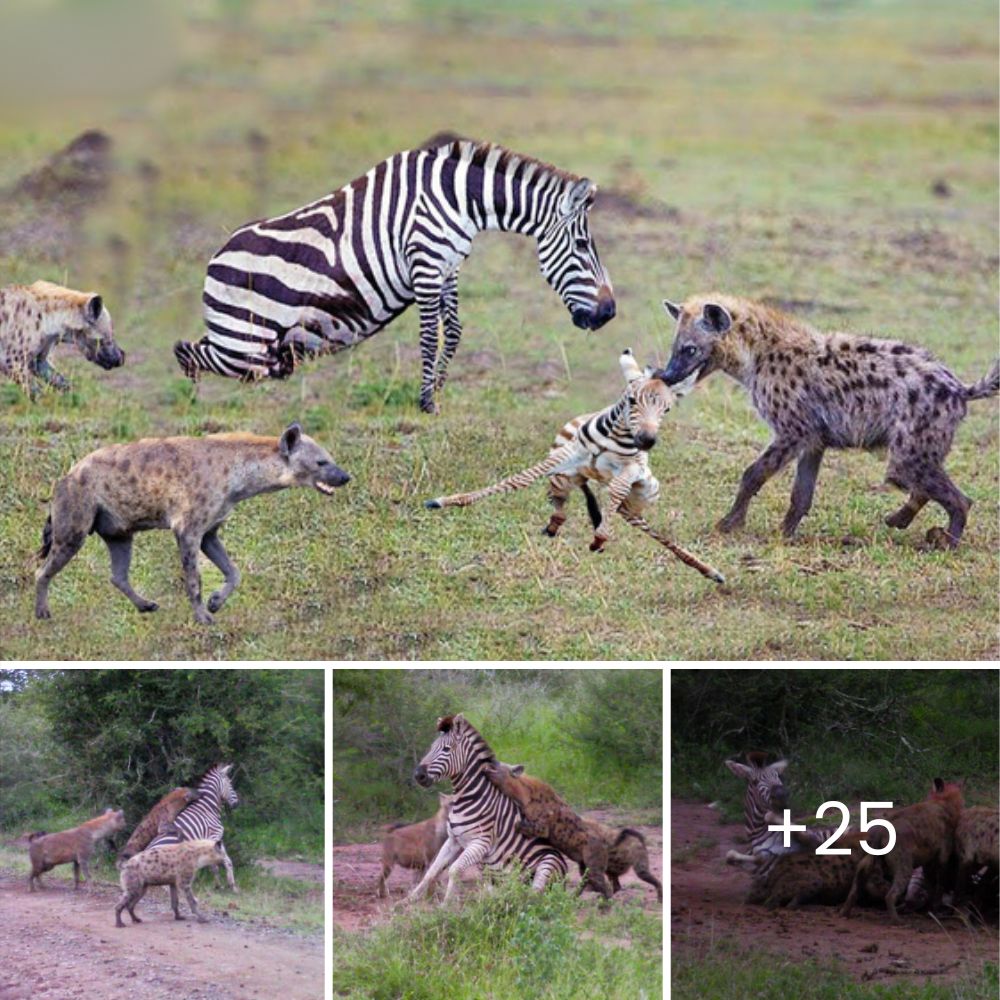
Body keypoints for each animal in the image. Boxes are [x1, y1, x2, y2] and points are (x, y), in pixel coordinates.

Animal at [35, 422, 352, 624]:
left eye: (331, 458)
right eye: (321, 462)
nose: (346, 476)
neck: (237, 476)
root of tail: (67, 474)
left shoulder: (210, 530)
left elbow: (234, 571)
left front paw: (216, 602)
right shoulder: (188, 528)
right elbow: (194, 578)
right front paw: (203, 618)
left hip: (119, 530)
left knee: (118, 574)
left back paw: (146, 605)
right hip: (75, 521)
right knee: (44, 568)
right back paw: (42, 613)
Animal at [174, 136, 616, 410]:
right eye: (581, 246)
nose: (609, 313)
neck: (458, 198)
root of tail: (215, 258)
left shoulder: (448, 266)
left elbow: (454, 330)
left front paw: (438, 388)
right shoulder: (425, 261)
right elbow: (429, 336)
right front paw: (426, 401)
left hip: (247, 342)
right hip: (245, 345)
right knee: (187, 350)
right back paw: (197, 402)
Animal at [402, 712, 568, 908]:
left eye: (447, 749)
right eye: (431, 748)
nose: (418, 775)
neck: (467, 797)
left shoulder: (480, 843)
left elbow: (454, 870)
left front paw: (446, 905)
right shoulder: (453, 840)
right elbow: (432, 871)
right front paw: (407, 900)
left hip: (547, 864)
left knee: (536, 895)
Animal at [424, 352, 728, 584]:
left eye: (667, 410)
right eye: (632, 401)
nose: (647, 440)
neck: (613, 439)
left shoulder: (632, 469)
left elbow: (617, 490)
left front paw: (600, 538)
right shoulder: (567, 454)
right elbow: (519, 480)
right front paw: (447, 501)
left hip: (640, 496)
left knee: (639, 521)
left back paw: (708, 570)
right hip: (564, 476)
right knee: (563, 506)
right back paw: (553, 527)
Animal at [660, 294, 996, 548]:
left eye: (689, 349)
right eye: (674, 348)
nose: (666, 375)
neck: (756, 357)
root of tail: (959, 388)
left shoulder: (793, 430)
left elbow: (753, 473)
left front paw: (728, 524)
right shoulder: (813, 438)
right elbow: (801, 493)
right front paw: (783, 534)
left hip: (911, 445)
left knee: (957, 497)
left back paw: (946, 541)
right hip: (917, 448)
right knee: (924, 483)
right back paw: (899, 520)